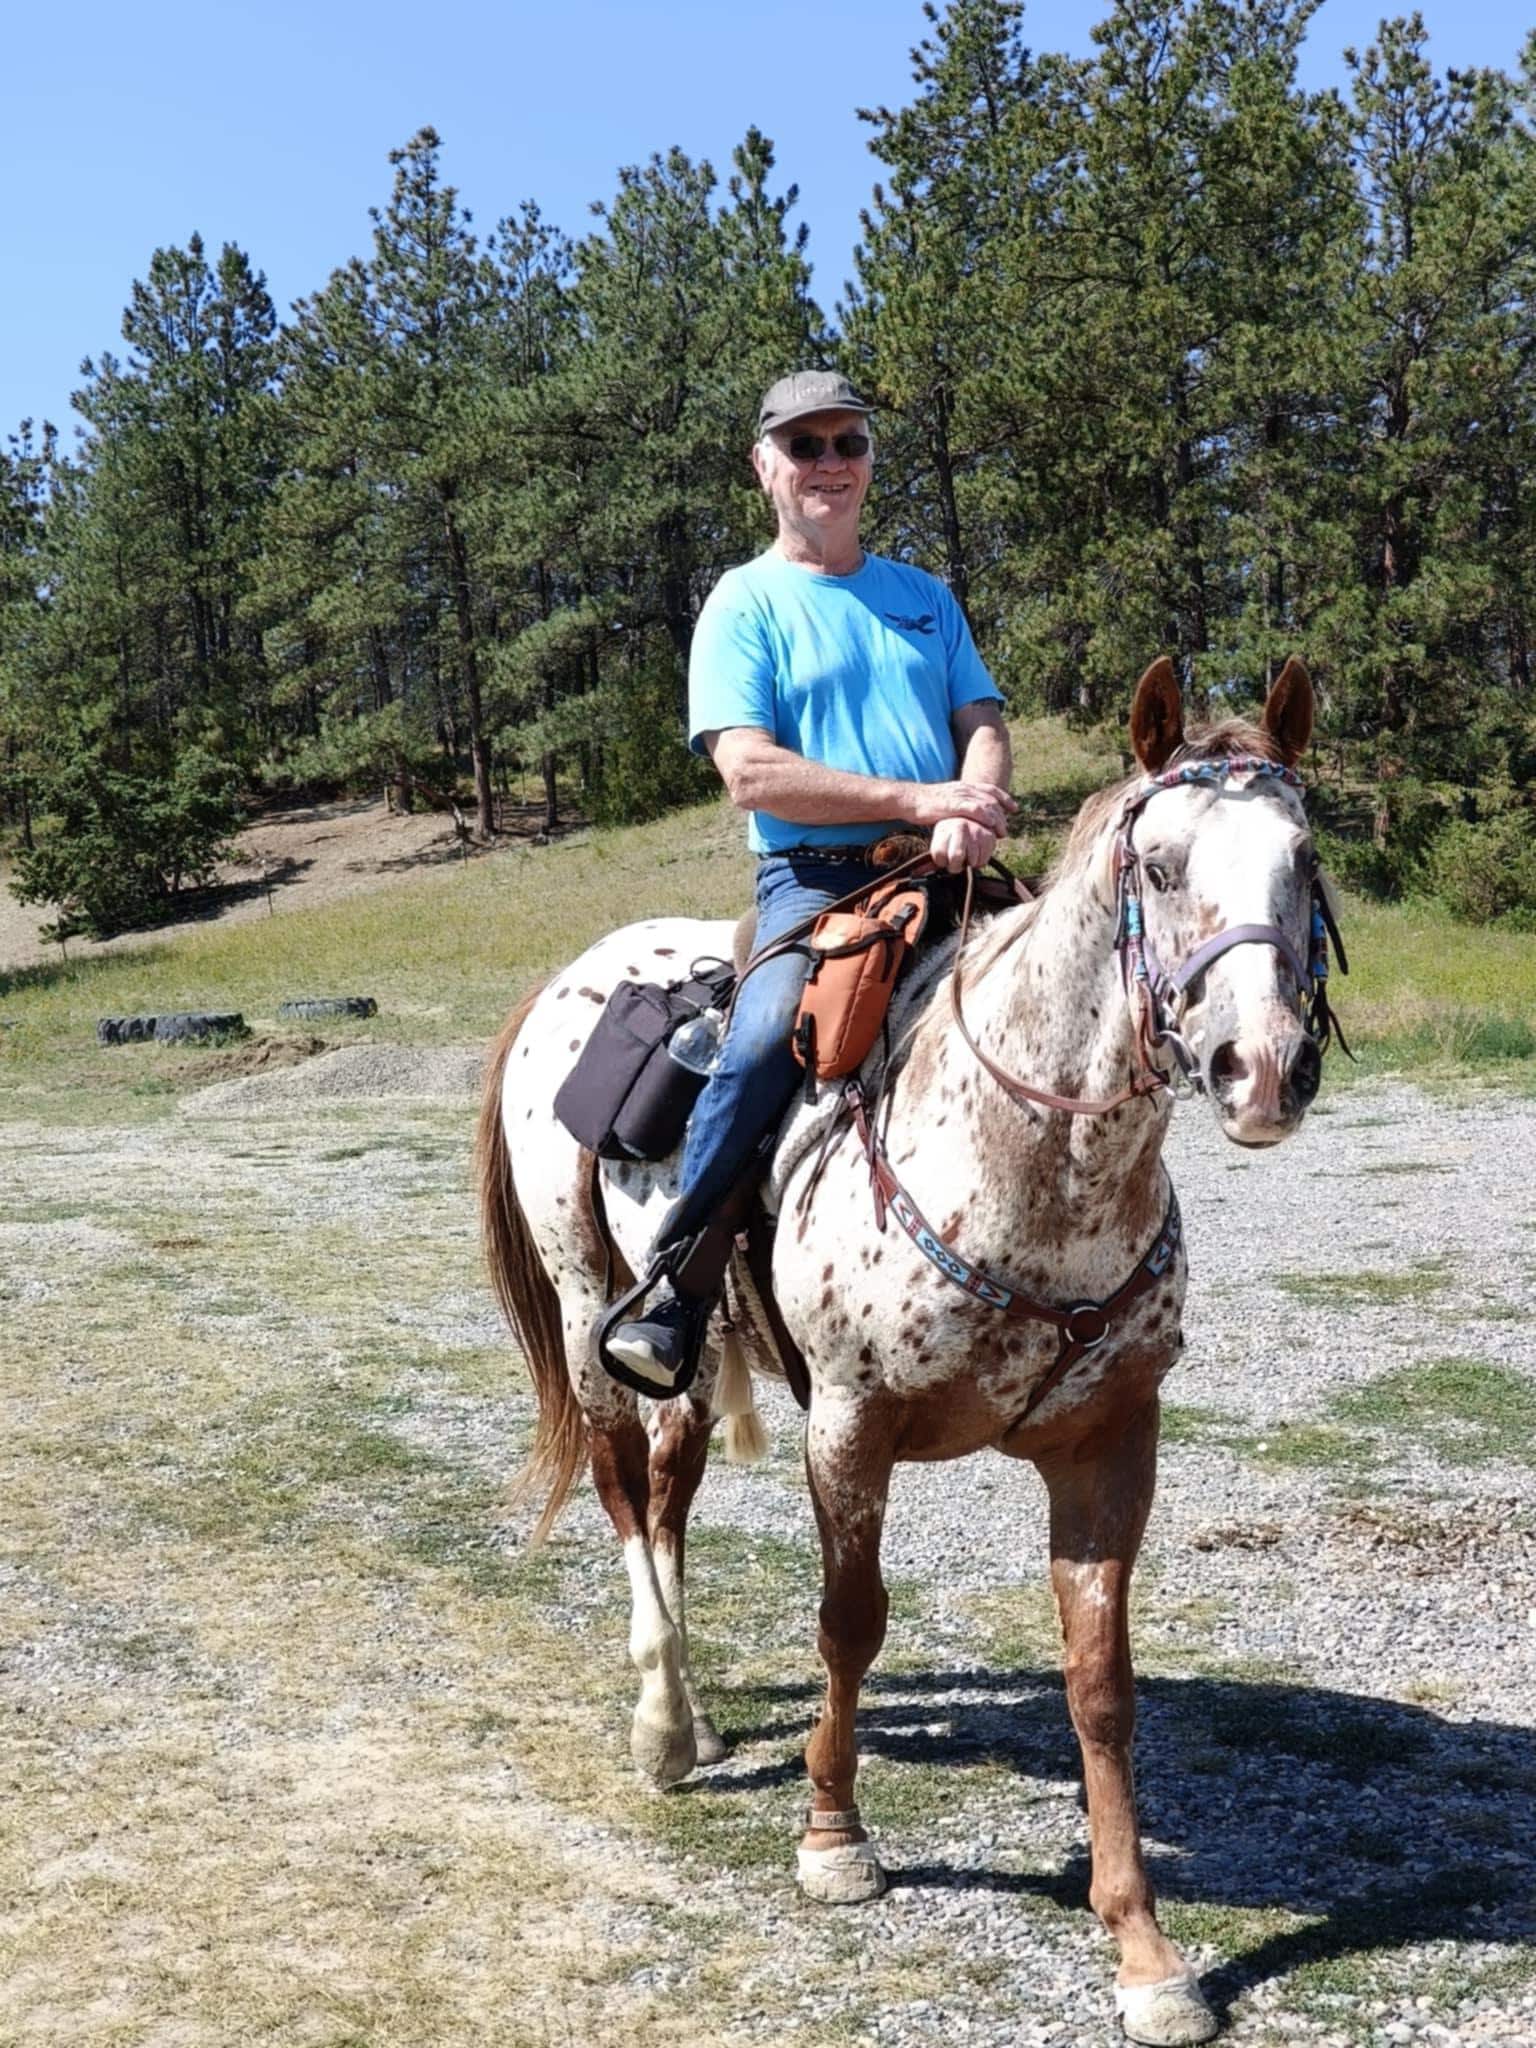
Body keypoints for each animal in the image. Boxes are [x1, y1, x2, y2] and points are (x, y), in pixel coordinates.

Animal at [476, 656, 1331, 2047]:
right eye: (1158, 864)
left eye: (1304, 859)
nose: (1260, 1067)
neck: (1033, 1166)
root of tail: (576, 972)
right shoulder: (851, 1421)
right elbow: (849, 1621)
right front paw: (834, 1838)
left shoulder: (1112, 1440)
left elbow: (1102, 1682)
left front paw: (1145, 1949)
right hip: (587, 1305)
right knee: (617, 1485)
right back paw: (661, 1721)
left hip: (693, 1352)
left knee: (667, 1488)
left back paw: (695, 1715)